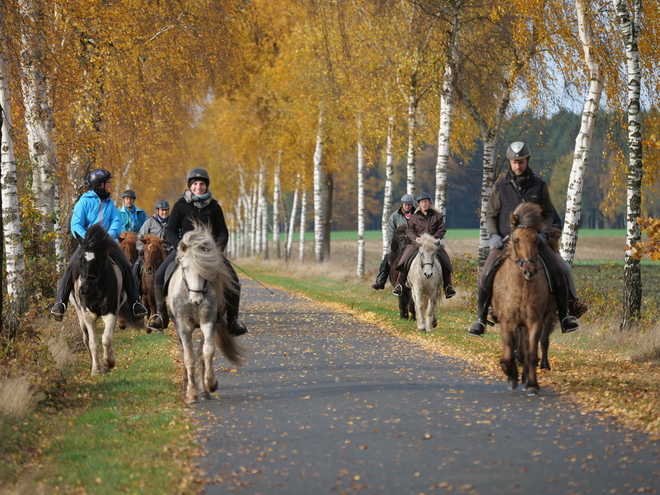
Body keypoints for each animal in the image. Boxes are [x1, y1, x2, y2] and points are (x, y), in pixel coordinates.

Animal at [69, 224, 142, 376]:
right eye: (80, 259)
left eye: (97, 260)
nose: (84, 289)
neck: (96, 287)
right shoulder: (87, 315)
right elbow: (93, 342)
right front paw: (96, 369)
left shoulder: (111, 311)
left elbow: (107, 338)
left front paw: (108, 362)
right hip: (79, 314)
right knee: (86, 338)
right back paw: (92, 363)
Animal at [168, 225, 245, 404]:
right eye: (184, 268)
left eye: (206, 269)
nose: (196, 300)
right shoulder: (183, 326)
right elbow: (188, 357)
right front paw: (191, 393)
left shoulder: (208, 323)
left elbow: (206, 352)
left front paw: (210, 385)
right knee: (185, 352)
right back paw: (186, 387)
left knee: (200, 354)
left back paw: (203, 390)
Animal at [490, 203, 556, 398]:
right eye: (516, 240)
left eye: (536, 241)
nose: (529, 271)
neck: (522, 288)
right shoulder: (507, 322)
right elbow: (508, 352)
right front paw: (510, 373)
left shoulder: (535, 322)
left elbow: (532, 353)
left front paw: (532, 384)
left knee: (528, 348)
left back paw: (526, 376)